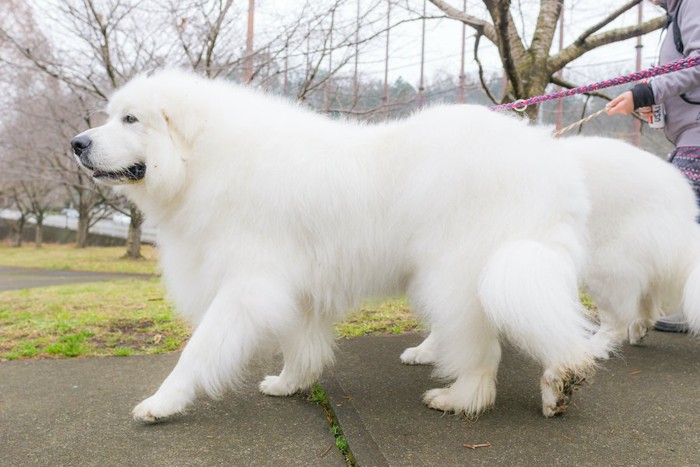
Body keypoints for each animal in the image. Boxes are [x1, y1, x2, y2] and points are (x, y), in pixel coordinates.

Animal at [72, 70, 608, 424]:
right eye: (109, 117)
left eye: (130, 119)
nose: (77, 143)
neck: (203, 159)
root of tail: (550, 160)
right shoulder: (295, 288)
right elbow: (300, 345)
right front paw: (290, 383)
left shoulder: (247, 286)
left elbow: (199, 351)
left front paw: (161, 403)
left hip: (464, 269)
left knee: (483, 348)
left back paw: (465, 398)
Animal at [402, 136, 700, 370]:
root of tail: (676, 188)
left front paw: (428, 350)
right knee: (647, 298)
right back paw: (639, 329)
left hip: (604, 267)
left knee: (617, 319)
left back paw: (594, 347)